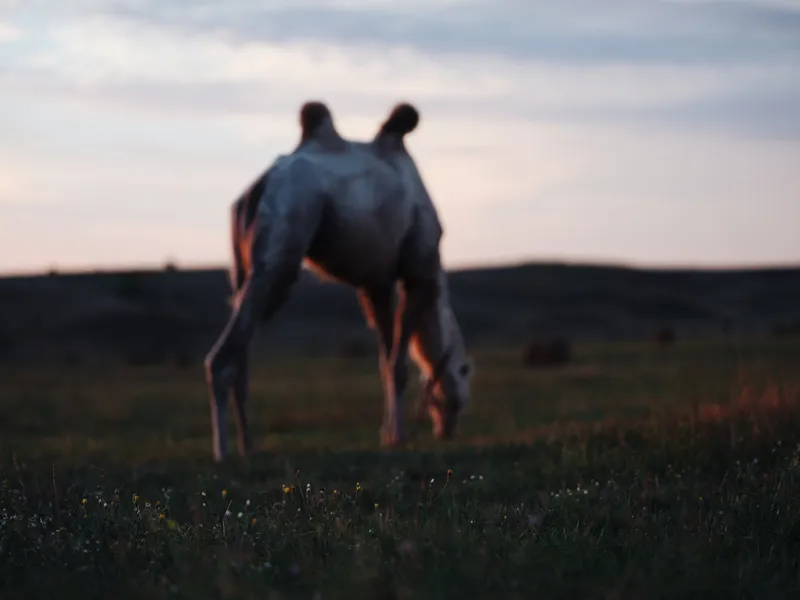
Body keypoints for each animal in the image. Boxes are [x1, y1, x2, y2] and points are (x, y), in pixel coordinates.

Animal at [204, 100, 474, 461]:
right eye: (462, 390)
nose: (448, 431)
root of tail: (256, 190)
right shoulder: (417, 272)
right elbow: (399, 364)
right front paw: (399, 436)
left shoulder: (375, 285)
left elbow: (385, 361)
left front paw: (387, 434)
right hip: (280, 252)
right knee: (221, 359)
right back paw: (223, 452)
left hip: (242, 269)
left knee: (241, 357)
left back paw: (250, 447)